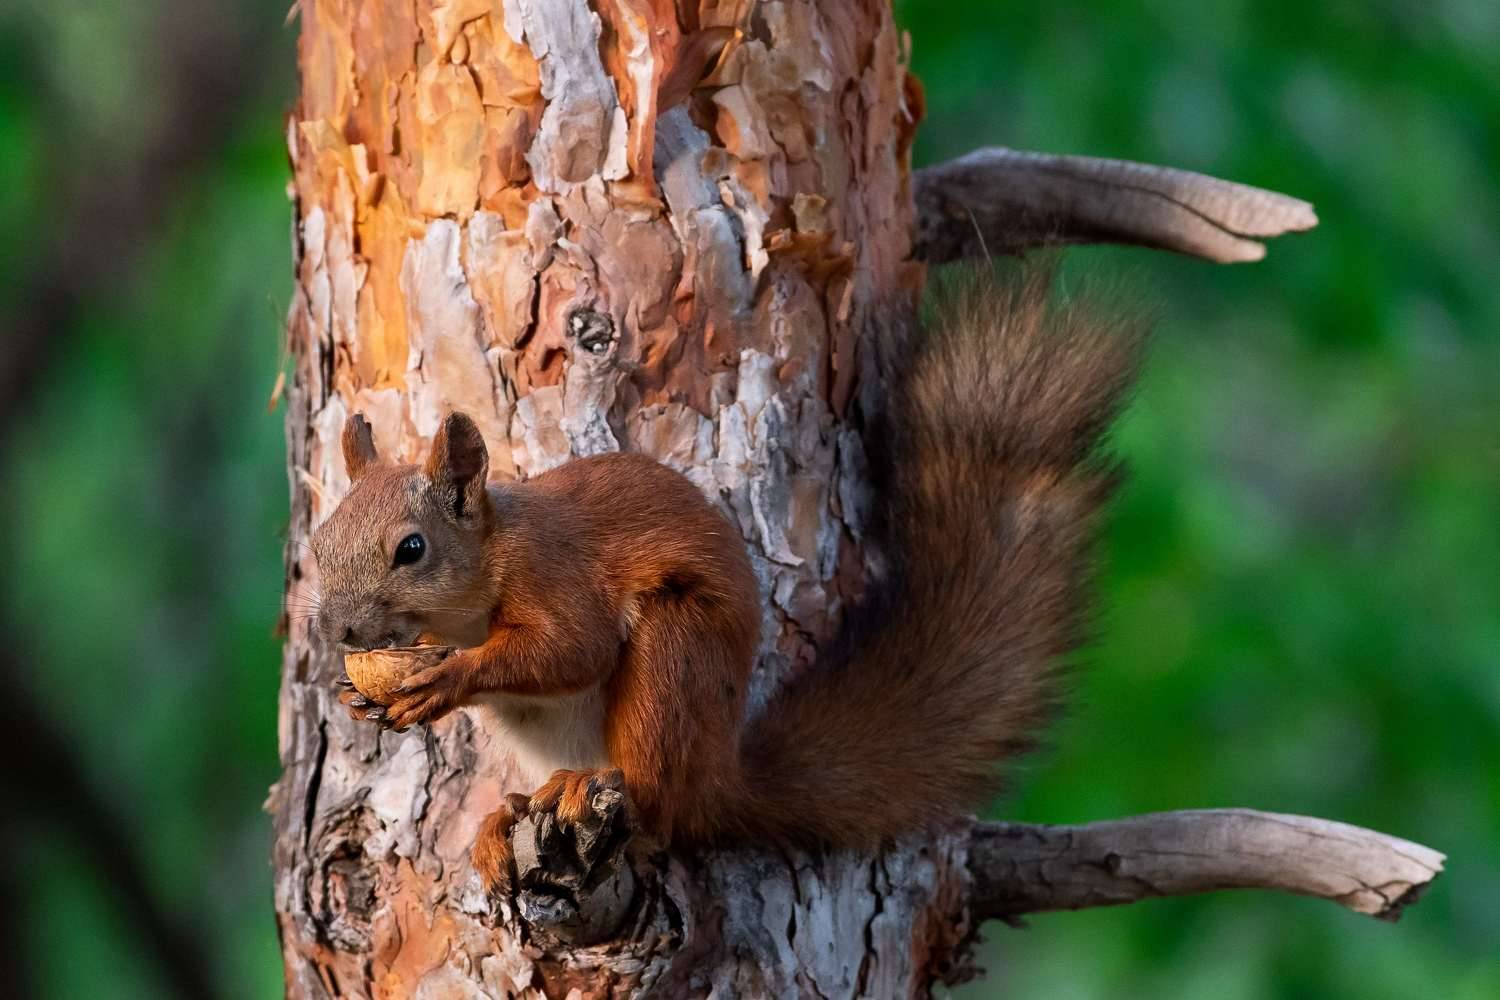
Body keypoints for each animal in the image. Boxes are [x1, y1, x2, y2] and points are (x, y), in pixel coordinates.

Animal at [309, 263, 1142, 892]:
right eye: (317, 544)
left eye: (411, 549)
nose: (338, 630)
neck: (480, 578)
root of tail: (721, 777)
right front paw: (360, 696)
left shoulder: (555, 571)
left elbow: (572, 647)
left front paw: (449, 678)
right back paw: (507, 816)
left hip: (675, 662)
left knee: (658, 808)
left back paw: (594, 794)